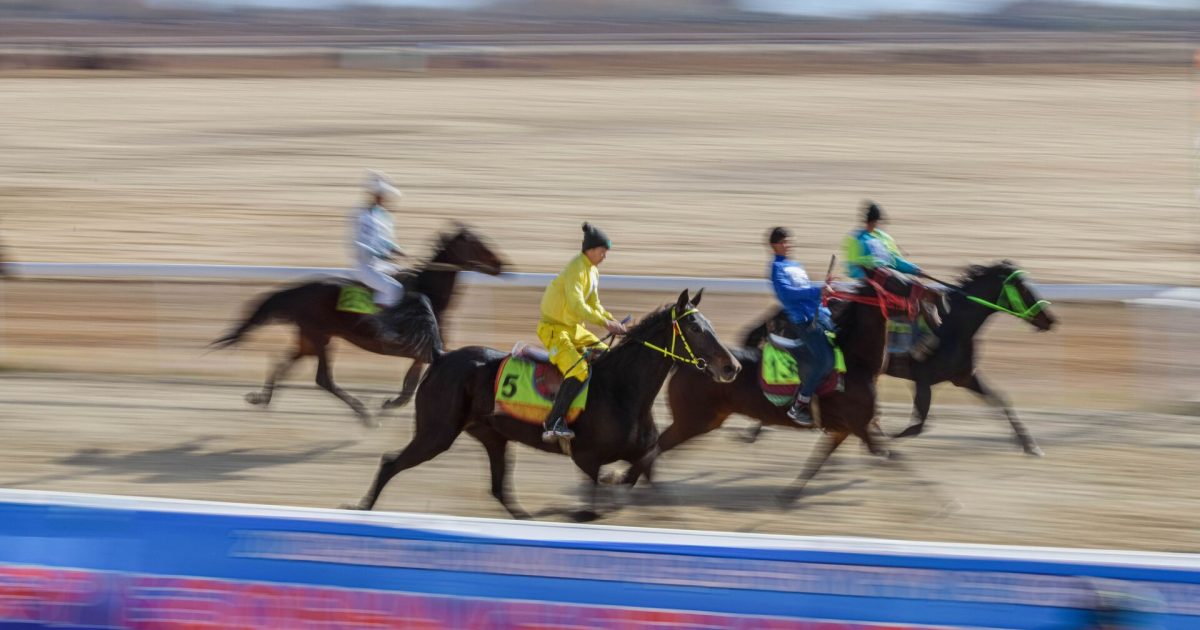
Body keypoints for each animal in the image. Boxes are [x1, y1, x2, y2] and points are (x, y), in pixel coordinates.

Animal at [211, 225, 506, 424]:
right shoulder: (425, 350)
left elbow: (409, 384)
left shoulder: (424, 353)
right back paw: (364, 414)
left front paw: (391, 403)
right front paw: (388, 405)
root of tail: (301, 288)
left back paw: (261, 399)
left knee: (282, 363)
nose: (502, 265)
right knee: (324, 379)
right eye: (479, 243)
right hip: (320, 336)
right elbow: (410, 387)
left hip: (309, 338)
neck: (430, 296)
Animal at [345, 289, 742, 521]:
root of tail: (441, 356)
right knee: (390, 463)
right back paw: (360, 507)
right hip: (437, 432)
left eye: (708, 324)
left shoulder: (641, 454)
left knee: (499, 488)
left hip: (492, 435)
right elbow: (591, 509)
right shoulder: (587, 459)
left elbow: (644, 480)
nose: (732, 367)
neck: (622, 390)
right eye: (695, 328)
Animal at [620, 278, 910, 503]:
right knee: (655, 447)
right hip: (693, 420)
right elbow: (891, 456)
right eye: (898, 282)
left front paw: (791, 494)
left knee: (657, 449)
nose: (915, 304)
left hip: (707, 420)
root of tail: (690, 363)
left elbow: (819, 460)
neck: (856, 361)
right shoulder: (859, 426)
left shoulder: (846, 428)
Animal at [742, 262, 1057, 455]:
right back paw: (758, 429)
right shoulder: (923, 379)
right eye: (1025, 289)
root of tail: (782, 310)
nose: (1051, 319)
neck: (952, 324)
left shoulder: (964, 376)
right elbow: (916, 426)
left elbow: (1001, 400)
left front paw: (1031, 445)